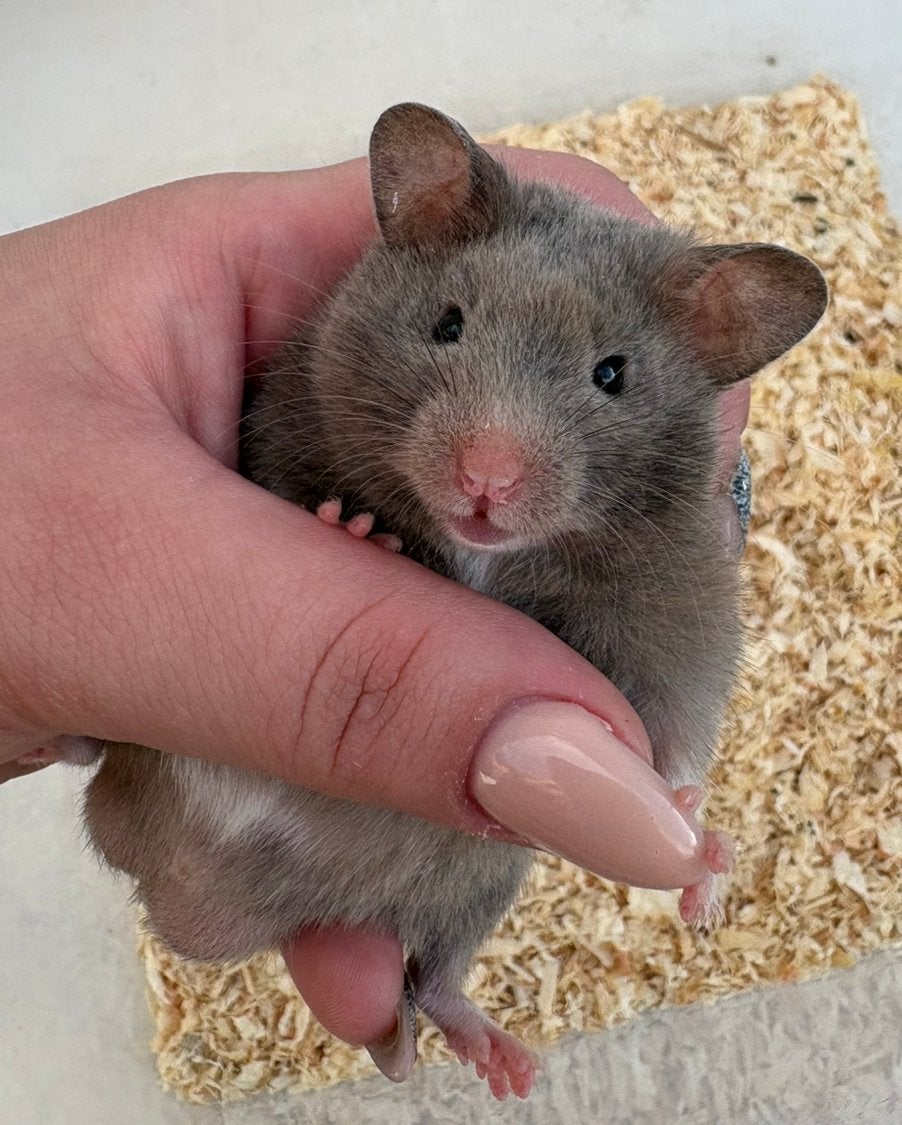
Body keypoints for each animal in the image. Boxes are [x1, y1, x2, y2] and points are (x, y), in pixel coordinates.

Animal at [83, 104, 827, 1100]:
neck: (488, 560)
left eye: (613, 374)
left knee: (431, 974)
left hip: (481, 874)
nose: (485, 482)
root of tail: (186, 903)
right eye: (447, 323)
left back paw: (507, 1063)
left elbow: (676, 754)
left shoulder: (682, 624)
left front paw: (701, 873)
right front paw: (356, 530)